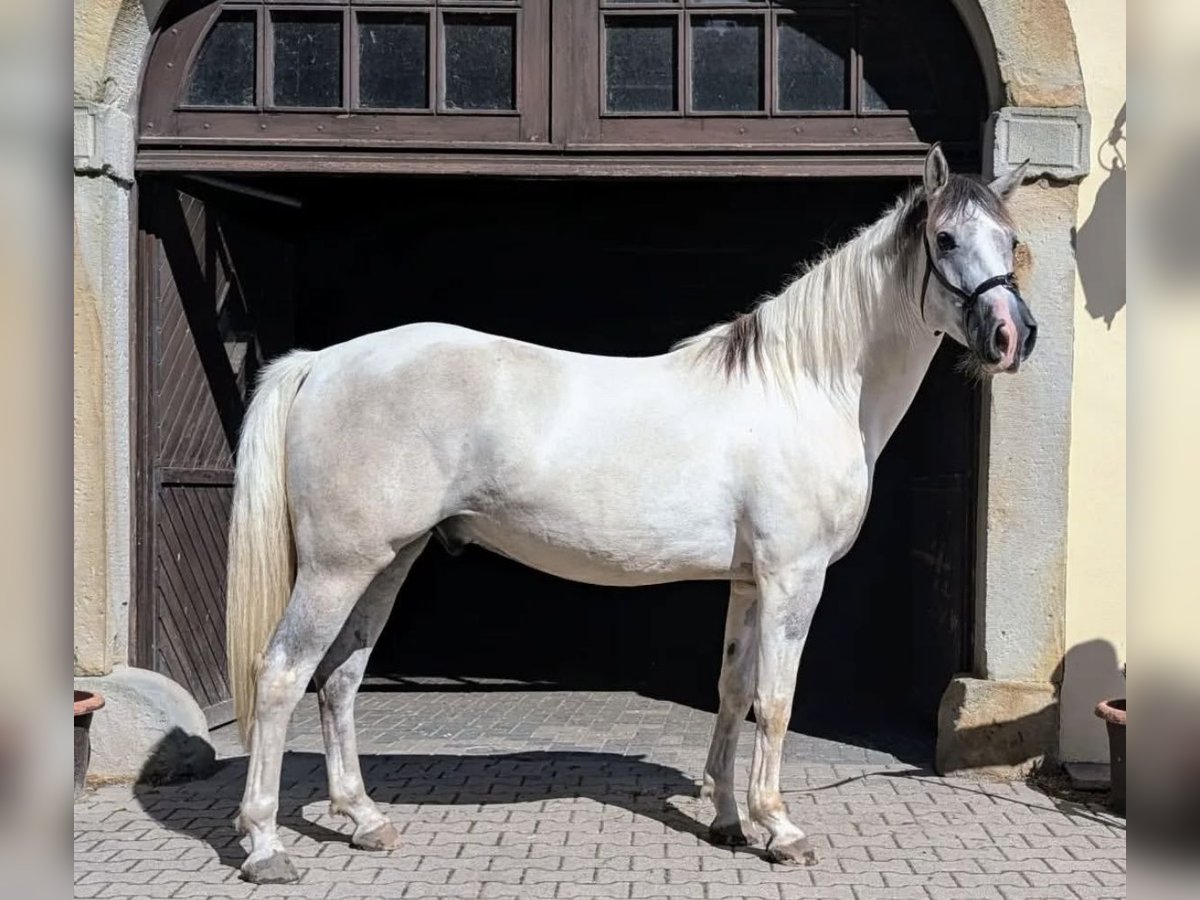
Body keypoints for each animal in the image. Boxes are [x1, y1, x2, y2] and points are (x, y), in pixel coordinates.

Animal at [229, 144, 1036, 883]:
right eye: (946, 239)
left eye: (1011, 241)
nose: (1012, 336)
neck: (807, 384)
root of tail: (322, 362)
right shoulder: (793, 578)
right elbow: (775, 701)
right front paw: (779, 829)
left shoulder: (749, 582)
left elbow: (732, 691)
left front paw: (726, 820)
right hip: (338, 567)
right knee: (282, 674)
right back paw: (266, 845)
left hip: (389, 559)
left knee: (339, 679)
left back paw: (364, 820)